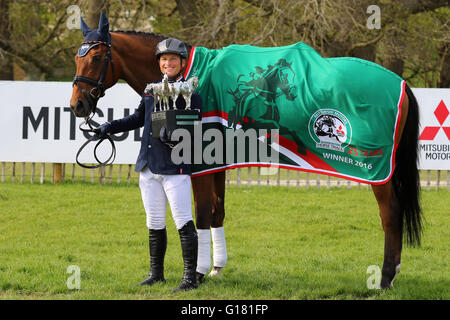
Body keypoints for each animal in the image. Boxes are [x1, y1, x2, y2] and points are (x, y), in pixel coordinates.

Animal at [69, 16, 422, 288]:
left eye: (97, 58)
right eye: (77, 57)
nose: (78, 105)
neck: (190, 77)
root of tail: (401, 83)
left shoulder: (199, 166)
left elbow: (200, 215)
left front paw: (196, 274)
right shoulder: (218, 164)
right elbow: (217, 212)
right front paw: (215, 268)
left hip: (377, 172)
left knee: (390, 213)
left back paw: (385, 277)